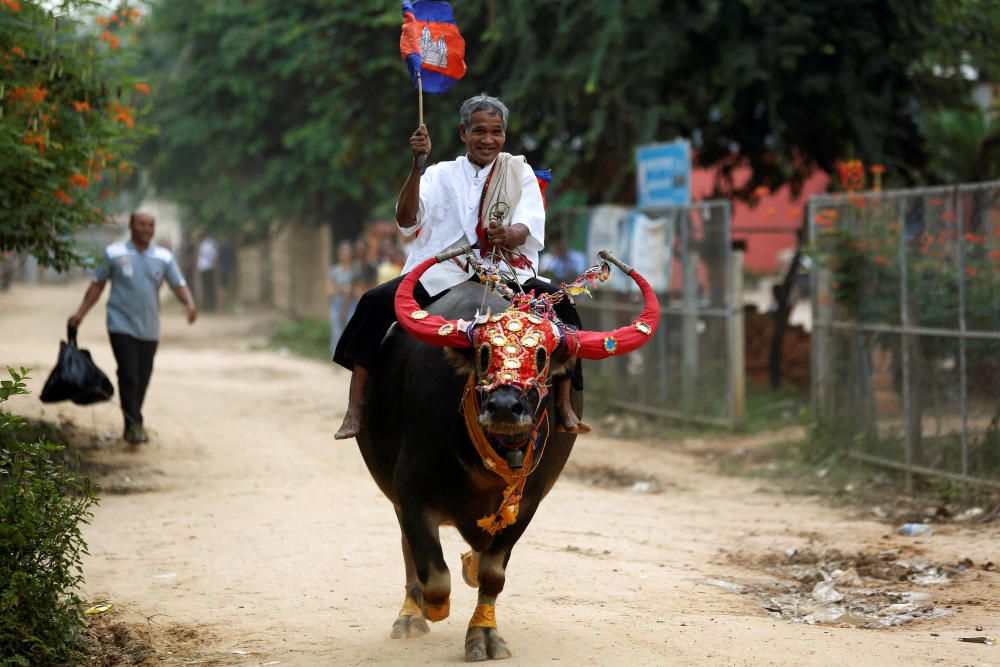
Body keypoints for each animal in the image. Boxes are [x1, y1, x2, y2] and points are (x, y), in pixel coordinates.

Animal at [356, 248, 660, 660]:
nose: (503, 406)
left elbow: (491, 573)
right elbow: (434, 574)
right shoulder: (412, 494)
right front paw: (434, 608)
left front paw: (484, 634)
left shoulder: (527, 503)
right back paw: (409, 616)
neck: (480, 459)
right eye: (483, 354)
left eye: (542, 356)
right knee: (409, 552)